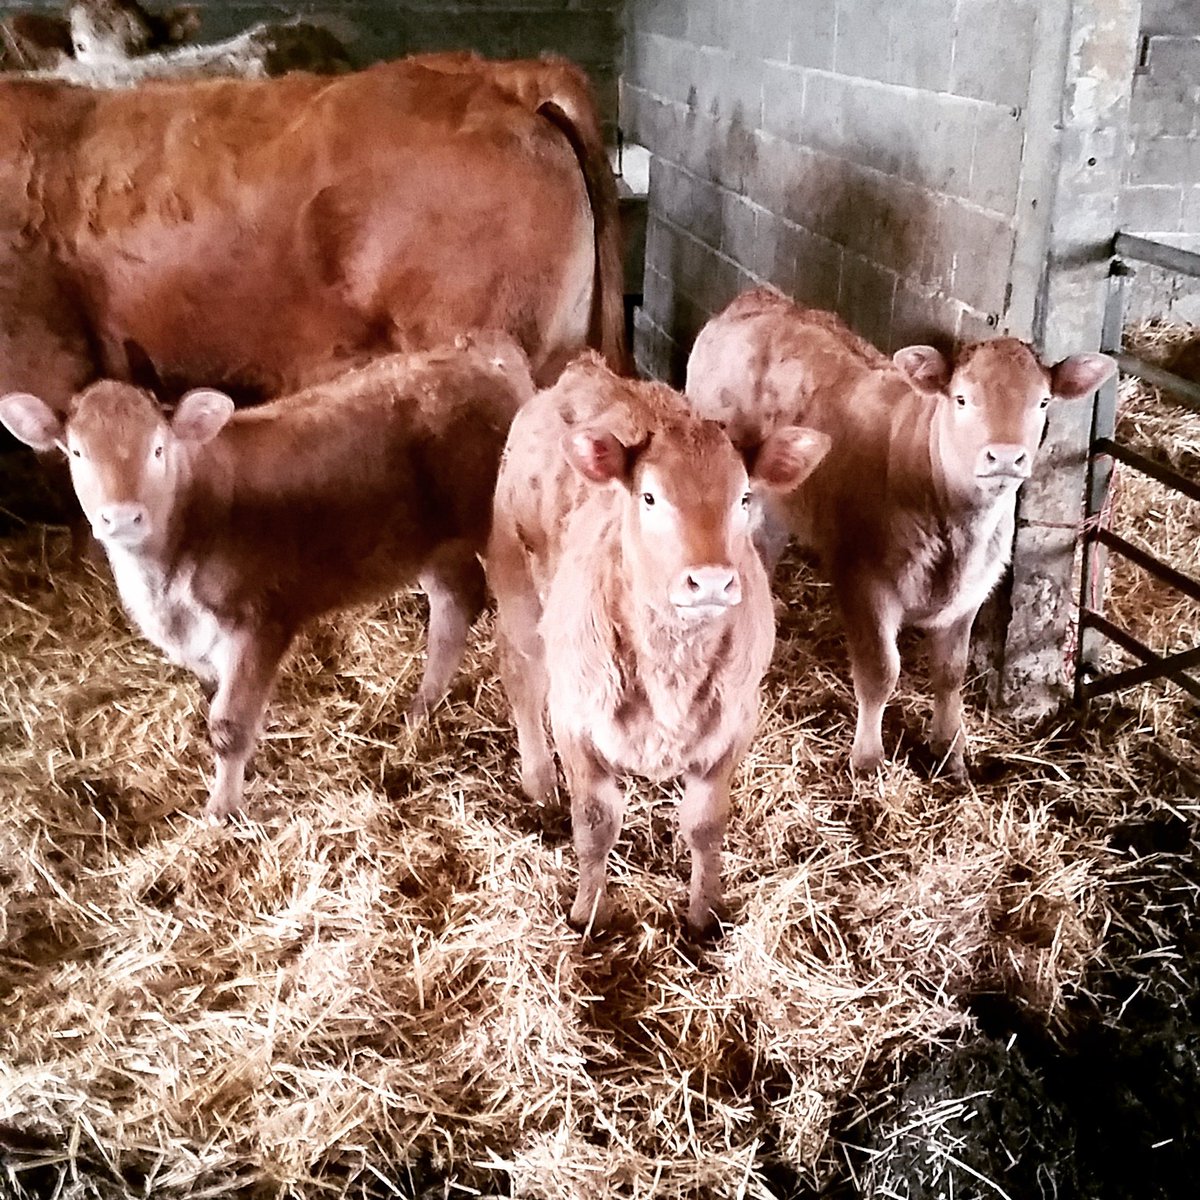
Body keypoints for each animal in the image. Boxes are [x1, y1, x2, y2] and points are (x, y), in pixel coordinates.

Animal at [0, 334, 534, 820]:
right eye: (76, 453)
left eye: (157, 449)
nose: (122, 517)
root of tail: (482, 347)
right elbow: (219, 706)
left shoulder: (259, 622)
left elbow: (229, 724)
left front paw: (221, 812)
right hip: (430, 543)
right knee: (454, 603)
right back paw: (419, 709)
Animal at [488, 353, 829, 933]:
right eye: (649, 497)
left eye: (744, 497)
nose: (711, 580)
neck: (672, 671)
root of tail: (588, 369)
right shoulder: (575, 720)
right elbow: (595, 824)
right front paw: (589, 915)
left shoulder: (735, 725)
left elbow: (706, 826)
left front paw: (703, 917)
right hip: (517, 591)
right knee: (521, 679)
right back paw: (538, 781)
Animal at [686, 288, 1117, 779]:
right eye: (962, 399)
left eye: (1043, 402)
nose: (1005, 456)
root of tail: (760, 298)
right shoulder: (863, 581)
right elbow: (880, 673)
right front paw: (867, 760)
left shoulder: (972, 592)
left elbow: (951, 673)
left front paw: (951, 751)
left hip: (779, 501)